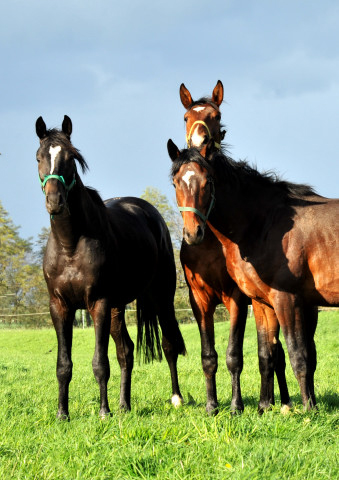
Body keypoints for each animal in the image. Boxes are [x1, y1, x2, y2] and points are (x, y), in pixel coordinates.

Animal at [35, 114, 187, 418]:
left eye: (70, 157)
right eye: (38, 157)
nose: (55, 202)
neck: (71, 244)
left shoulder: (99, 303)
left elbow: (100, 362)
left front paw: (104, 412)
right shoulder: (59, 306)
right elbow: (63, 365)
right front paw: (62, 414)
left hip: (160, 297)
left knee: (168, 344)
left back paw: (175, 398)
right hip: (118, 308)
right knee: (126, 351)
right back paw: (124, 405)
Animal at [169, 138, 338, 408]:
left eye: (208, 182)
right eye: (175, 183)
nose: (193, 233)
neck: (264, 224)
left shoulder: (284, 299)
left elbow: (296, 354)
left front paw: (308, 410)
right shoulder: (261, 302)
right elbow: (266, 353)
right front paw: (263, 407)